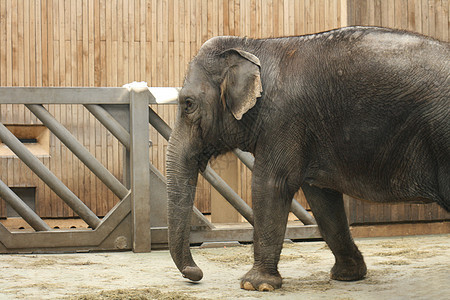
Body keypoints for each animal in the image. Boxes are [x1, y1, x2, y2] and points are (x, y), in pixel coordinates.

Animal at [166, 25, 450, 290]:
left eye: (188, 104)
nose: (195, 273)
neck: (254, 44)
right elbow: (322, 197)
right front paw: (347, 276)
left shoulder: (284, 120)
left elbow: (270, 184)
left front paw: (255, 285)